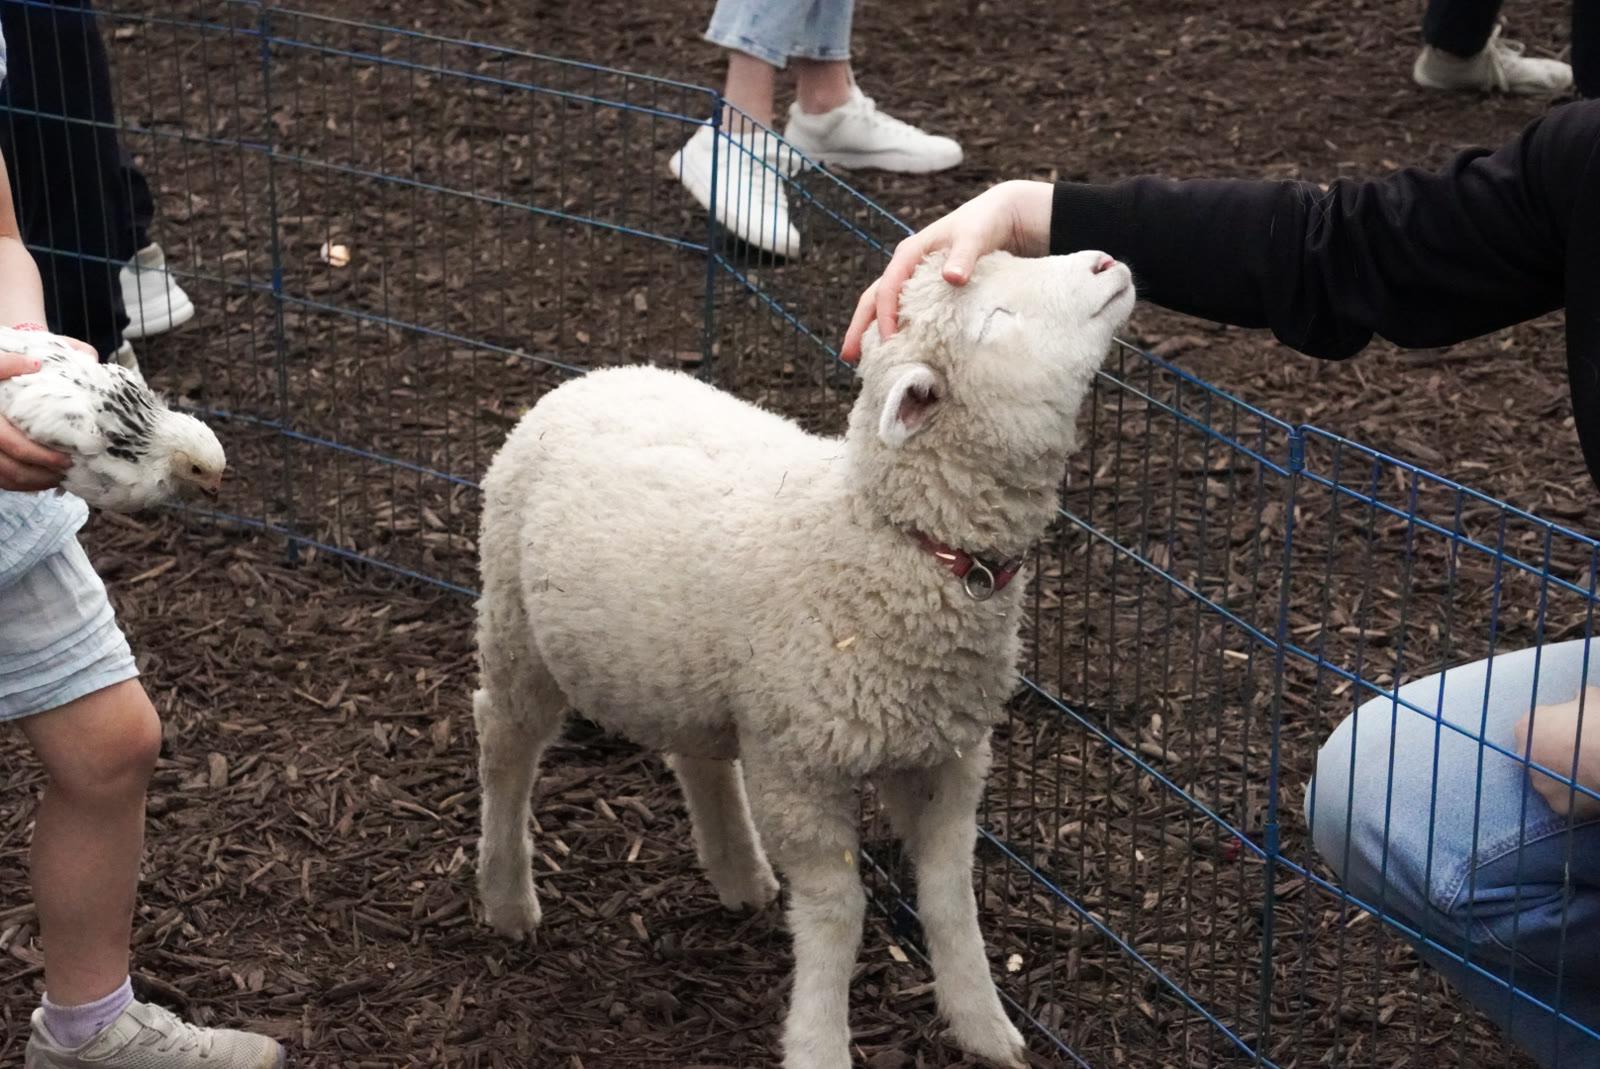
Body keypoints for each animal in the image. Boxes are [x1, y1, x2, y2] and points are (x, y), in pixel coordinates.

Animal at [472, 248, 1135, 1069]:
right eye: (995, 319)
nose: (1104, 261)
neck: (879, 536)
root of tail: (596, 374)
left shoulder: (947, 755)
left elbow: (950, 896)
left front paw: (984, 1026)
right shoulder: (798, 768)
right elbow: (836, 910)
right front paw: (819, 1041)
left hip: (695, 674)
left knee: (695, 756)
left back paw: (739, 872)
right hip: (516, 624)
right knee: (505, 744)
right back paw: (506, 894)